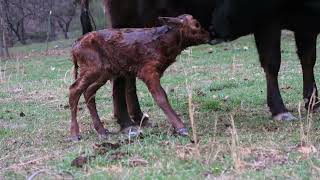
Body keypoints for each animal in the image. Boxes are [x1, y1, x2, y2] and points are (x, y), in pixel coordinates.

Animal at [69, 14, 210, 141]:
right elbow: (161, 97)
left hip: (104, 72)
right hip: (92, 69)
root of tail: (75, 46)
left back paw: (102, 131)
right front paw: (181, 128)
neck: (163, 44)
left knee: (88, 92)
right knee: (74, 89)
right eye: (196, 24)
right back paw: (75, 135)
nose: (209, 35)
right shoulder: (148, 70)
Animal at [79, 0, 318, 129]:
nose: (215, 28)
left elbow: (308, 60)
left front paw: (313, 102)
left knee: (128, 73)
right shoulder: (267, 21)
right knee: (119, 74)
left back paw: (138, 118)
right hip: (122, 21)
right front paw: (280, 109)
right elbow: (272, 63)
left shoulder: (306, 24)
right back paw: (126, 122)